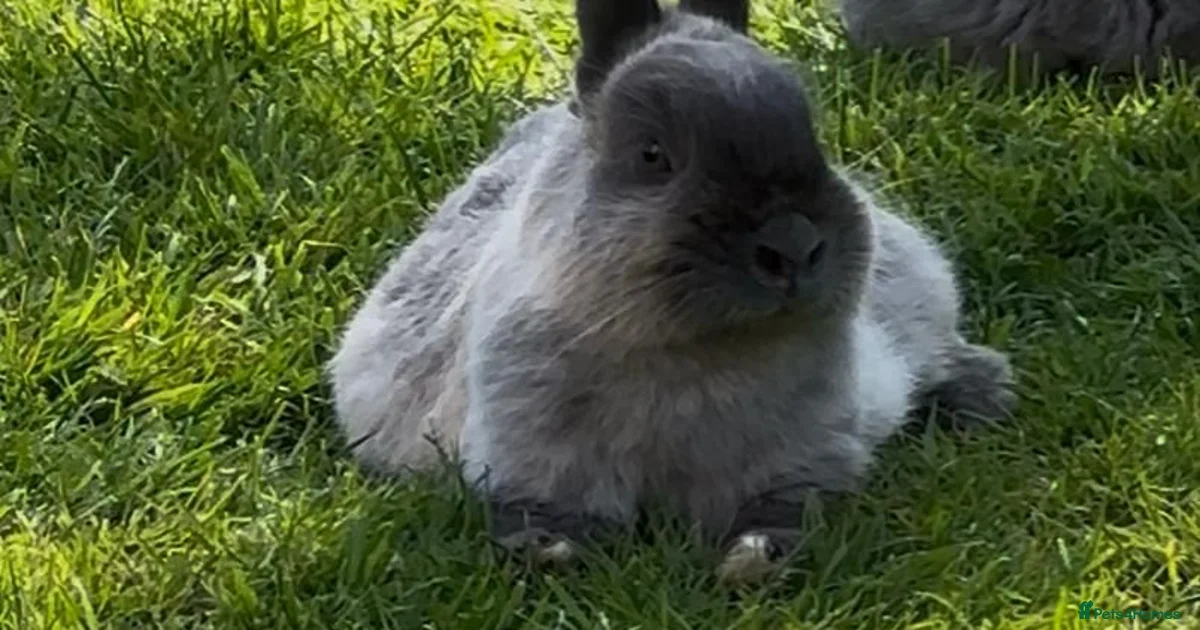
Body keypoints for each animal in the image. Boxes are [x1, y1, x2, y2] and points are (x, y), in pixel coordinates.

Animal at [327, 0, 1018, 584]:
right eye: (652, 154)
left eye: (812, 133)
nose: (793, 245)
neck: (694, 353)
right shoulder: (535, 462)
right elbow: (544, 514)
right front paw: (549, 553)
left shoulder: (800, 463)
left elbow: (782, 512)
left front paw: (753, 562)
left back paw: (983, 400)